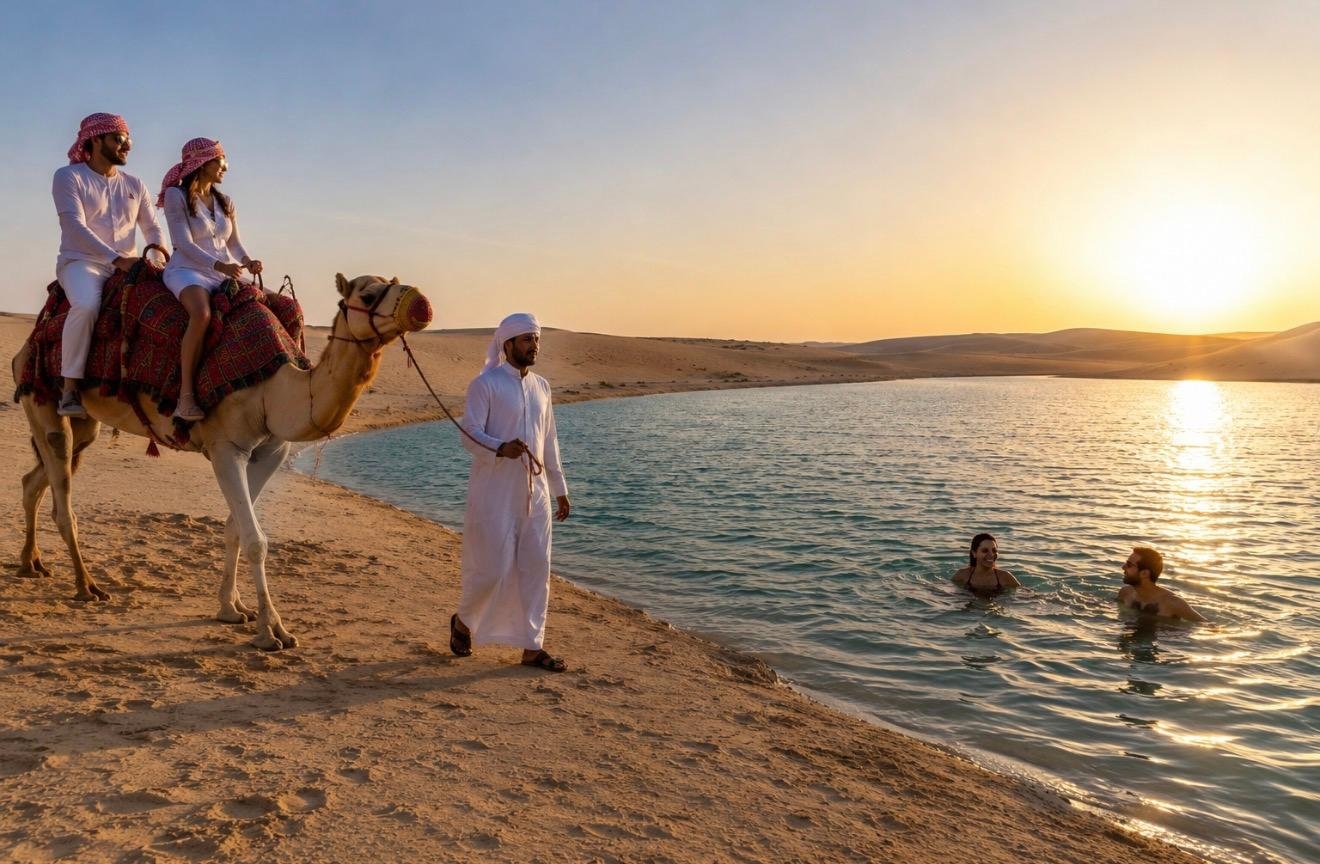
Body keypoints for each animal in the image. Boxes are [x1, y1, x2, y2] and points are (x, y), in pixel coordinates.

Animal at [11, 273, 433, 650]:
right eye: (368, 294)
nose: (421, 304)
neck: (274, 389)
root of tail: (25, 346)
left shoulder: (271, 451)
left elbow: (234, 528)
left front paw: (232, 608)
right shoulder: (226, 448)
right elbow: (255, 538)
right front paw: (272, 630)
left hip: (85, 422)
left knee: (34, 480)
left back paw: (31, 564)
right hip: (41, 398)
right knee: (63, 500)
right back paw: (87, 586)